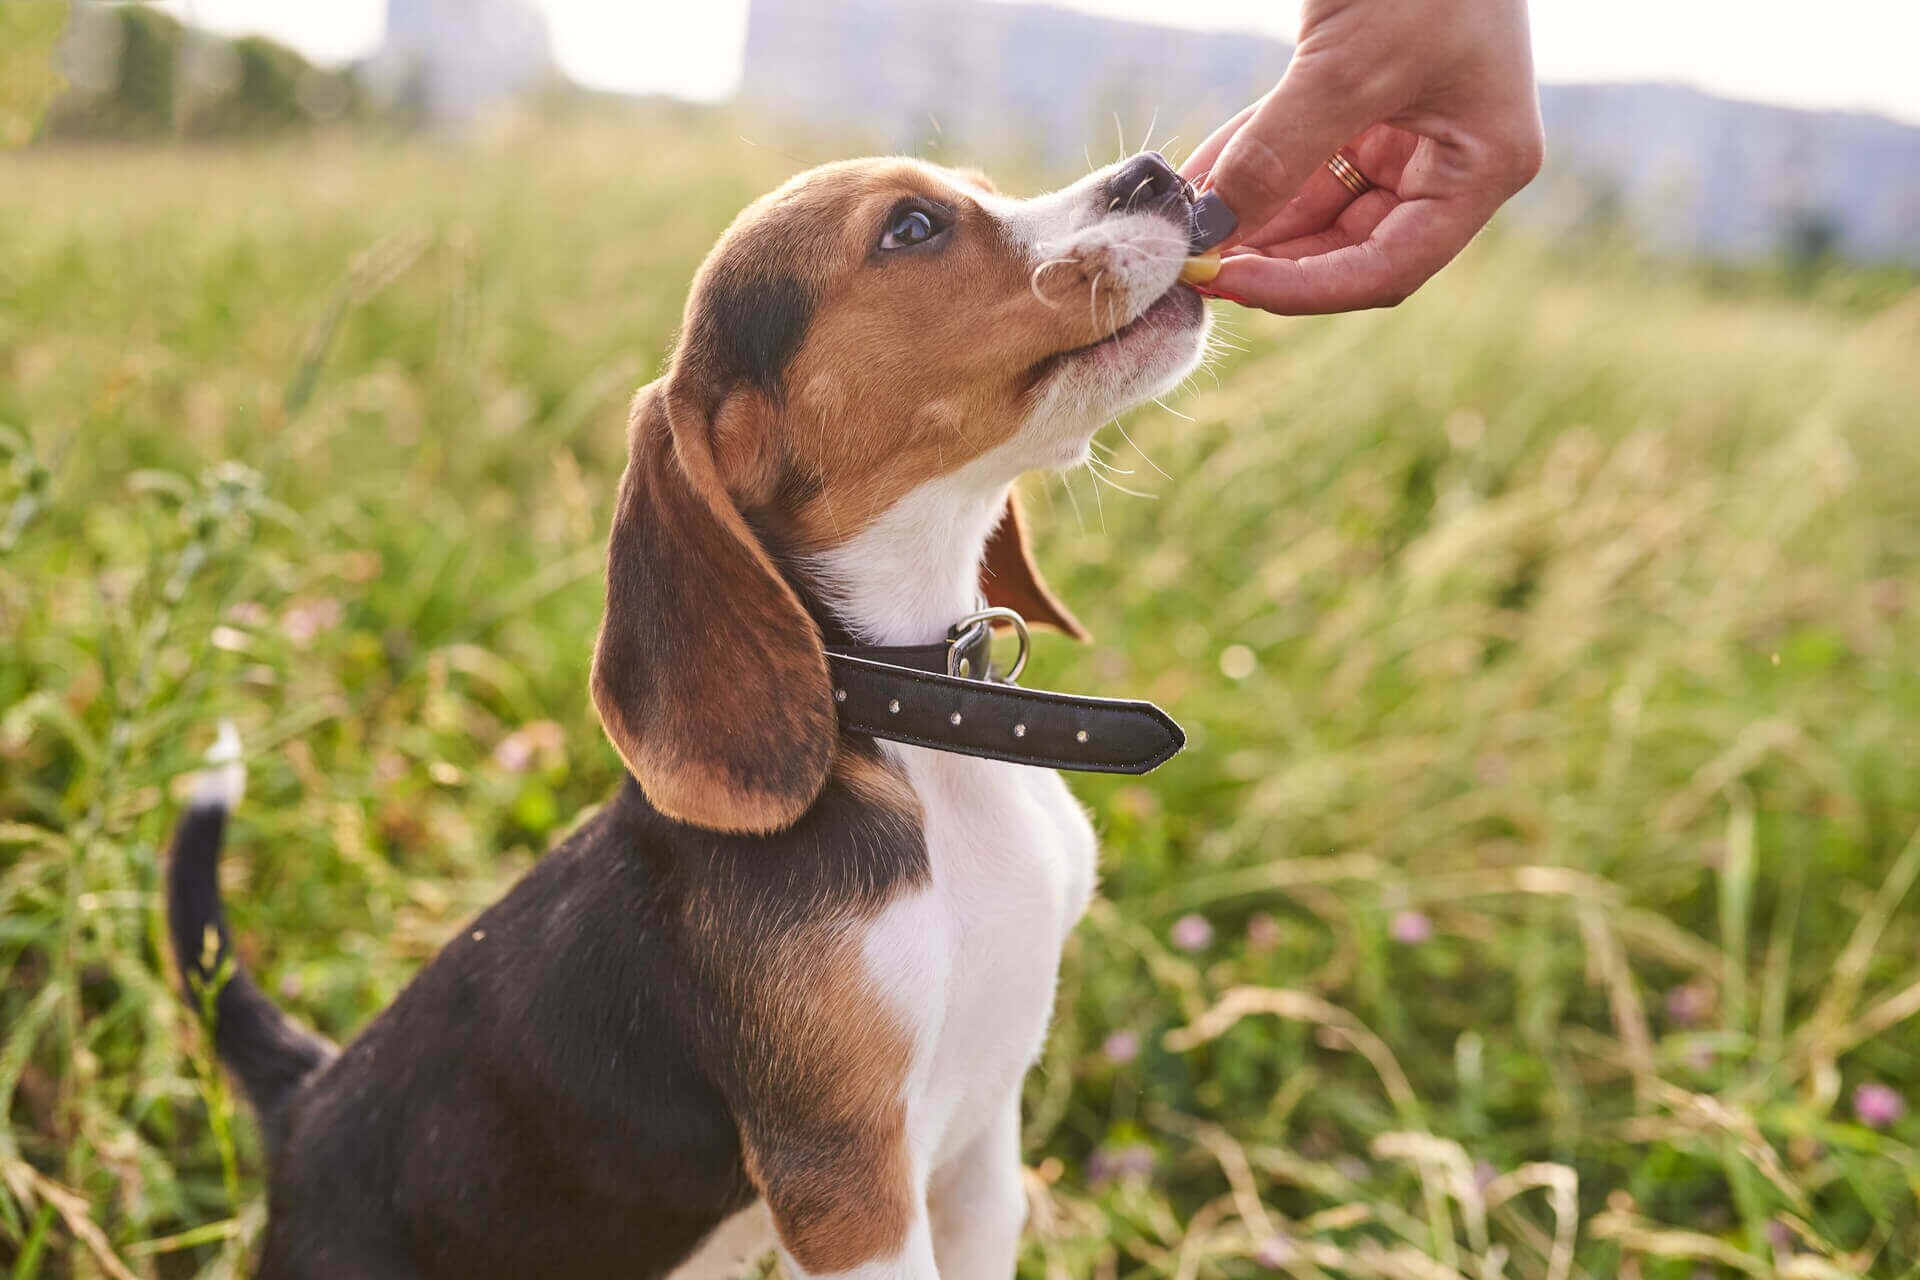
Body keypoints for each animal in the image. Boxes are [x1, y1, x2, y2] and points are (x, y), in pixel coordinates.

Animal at [168, 152, 1213, 1280]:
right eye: (912, 227)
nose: (1159, 173)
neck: (913, 728)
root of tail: (304, 1102)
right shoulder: (852, 1188)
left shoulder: (982, 1149)